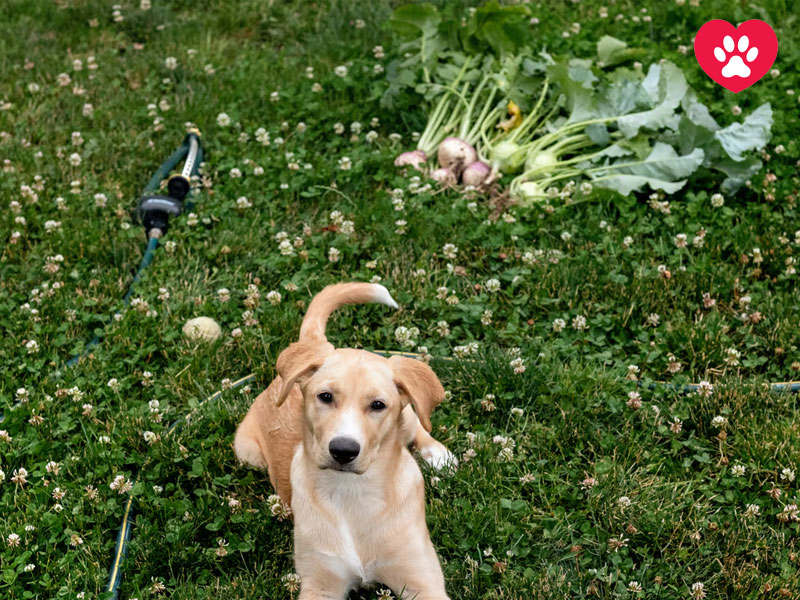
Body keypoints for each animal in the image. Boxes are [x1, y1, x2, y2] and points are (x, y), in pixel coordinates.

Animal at [234, 282, 454, 600]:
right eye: (325, 397)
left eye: (378, 405)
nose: (343, 450)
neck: (353, 492)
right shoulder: (320, 584)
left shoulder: (422, 580)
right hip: (246, 450)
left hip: (412, 413)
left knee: (417, 426)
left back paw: (438, 454)